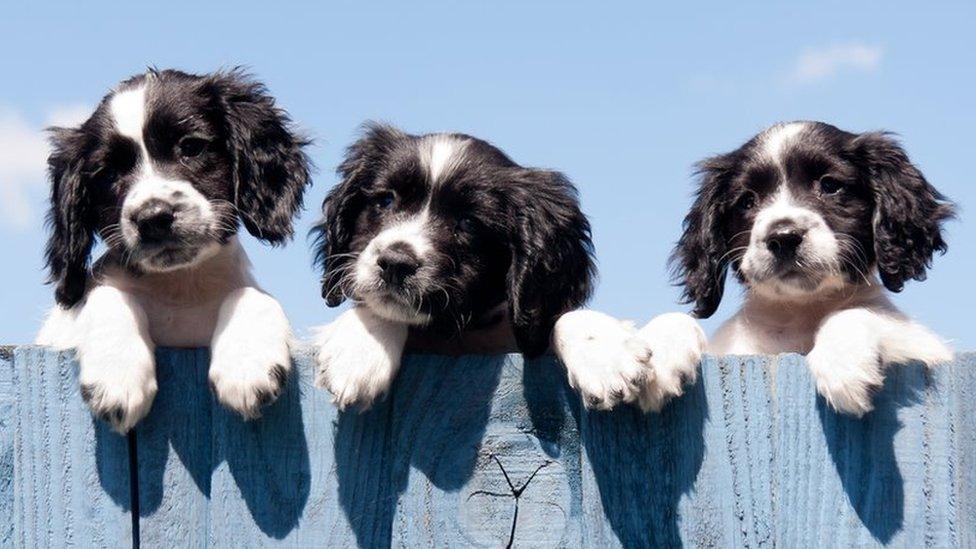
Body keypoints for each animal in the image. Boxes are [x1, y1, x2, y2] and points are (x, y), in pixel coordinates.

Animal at [36, 68, 310, 430]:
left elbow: (251, 294)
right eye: (108, 173)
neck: (180, 287)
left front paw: (247, 365)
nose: (153, 218)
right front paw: (117, 376)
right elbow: (107, 294)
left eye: (191, 147)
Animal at [310, 124, 596, 406]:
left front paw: (599, 346)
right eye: (386, 201)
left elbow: (561, 317)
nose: (395, 264)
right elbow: (377, 309)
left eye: (468, 223)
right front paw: (360, 351)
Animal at [672, 119, 952, 412]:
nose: (783, 237)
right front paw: (658, 349)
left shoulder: (929, 349)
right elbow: (676, 320)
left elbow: (862, 312)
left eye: (829, 185)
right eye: (747, 201)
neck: (801, 310)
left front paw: (842, 362)